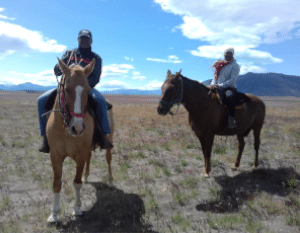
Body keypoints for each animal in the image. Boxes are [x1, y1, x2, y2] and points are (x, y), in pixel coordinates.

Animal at [46, 58, 114, 222]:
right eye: (67, 89)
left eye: (88, 90)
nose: (77, 128)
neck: (65, 130)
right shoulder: (55, 155)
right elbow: (56, 183)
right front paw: (54, 214)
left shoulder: (80, 155)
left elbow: (77, 183)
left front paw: (77, 209)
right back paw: (87, 176)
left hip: (109, 141)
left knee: (108, 158)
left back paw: (110, 180)